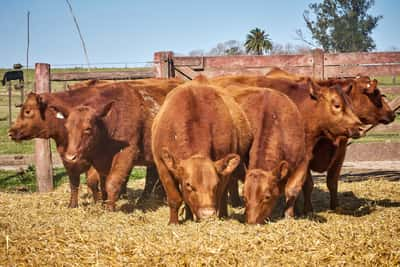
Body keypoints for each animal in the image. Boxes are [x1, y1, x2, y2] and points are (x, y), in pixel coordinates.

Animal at [152, 77, 252, 224]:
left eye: (215, 184)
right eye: (189, 185)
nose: (207, 214)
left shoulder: (223, 170)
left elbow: (221, 195)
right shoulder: (163, 166)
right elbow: (175, 198)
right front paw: (173, 222)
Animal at [227, 86, 308, 224]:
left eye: (267, 197)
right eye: (245, 196)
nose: (251, 222)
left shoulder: (302, 161)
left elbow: (292, 189)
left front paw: (289, 214)